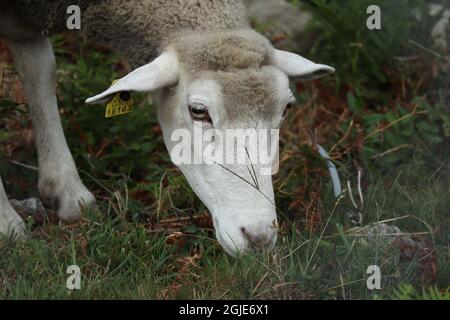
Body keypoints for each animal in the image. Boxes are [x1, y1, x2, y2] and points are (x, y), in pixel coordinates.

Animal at [0, 0, 334, 255]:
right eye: (198, 111)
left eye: (286, 108)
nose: (259, 237)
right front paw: (7, 226)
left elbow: (39, 69)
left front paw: (66, 190)